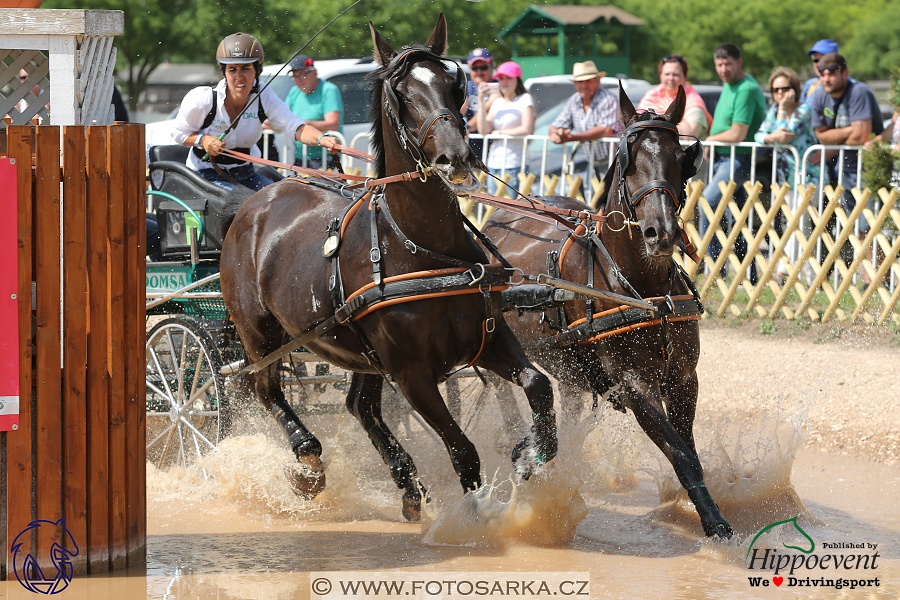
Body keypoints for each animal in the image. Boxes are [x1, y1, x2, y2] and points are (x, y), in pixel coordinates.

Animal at [218, 12, 556, 520]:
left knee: (360, 405)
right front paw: (474, 517)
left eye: (452, 86)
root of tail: (254, 203)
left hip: (356, 346)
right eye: (402, 94)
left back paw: (407, 483)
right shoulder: (413, 374)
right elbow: (463, 451)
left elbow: (538, 385)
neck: (422, 247)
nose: (455, 156)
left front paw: (529, 453)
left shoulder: (489, 339)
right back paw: (309, 461)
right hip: (259, 334)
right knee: (266, 388)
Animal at [482, 88, 736, 540]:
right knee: (499, 388)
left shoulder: (684, 379)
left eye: (680, 157)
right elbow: (682, 454)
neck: (646, 292)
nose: (661, 232)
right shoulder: (634, 385)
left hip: (569, 366)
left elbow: (687, 447)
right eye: (628, 160)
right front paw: (714, 520)